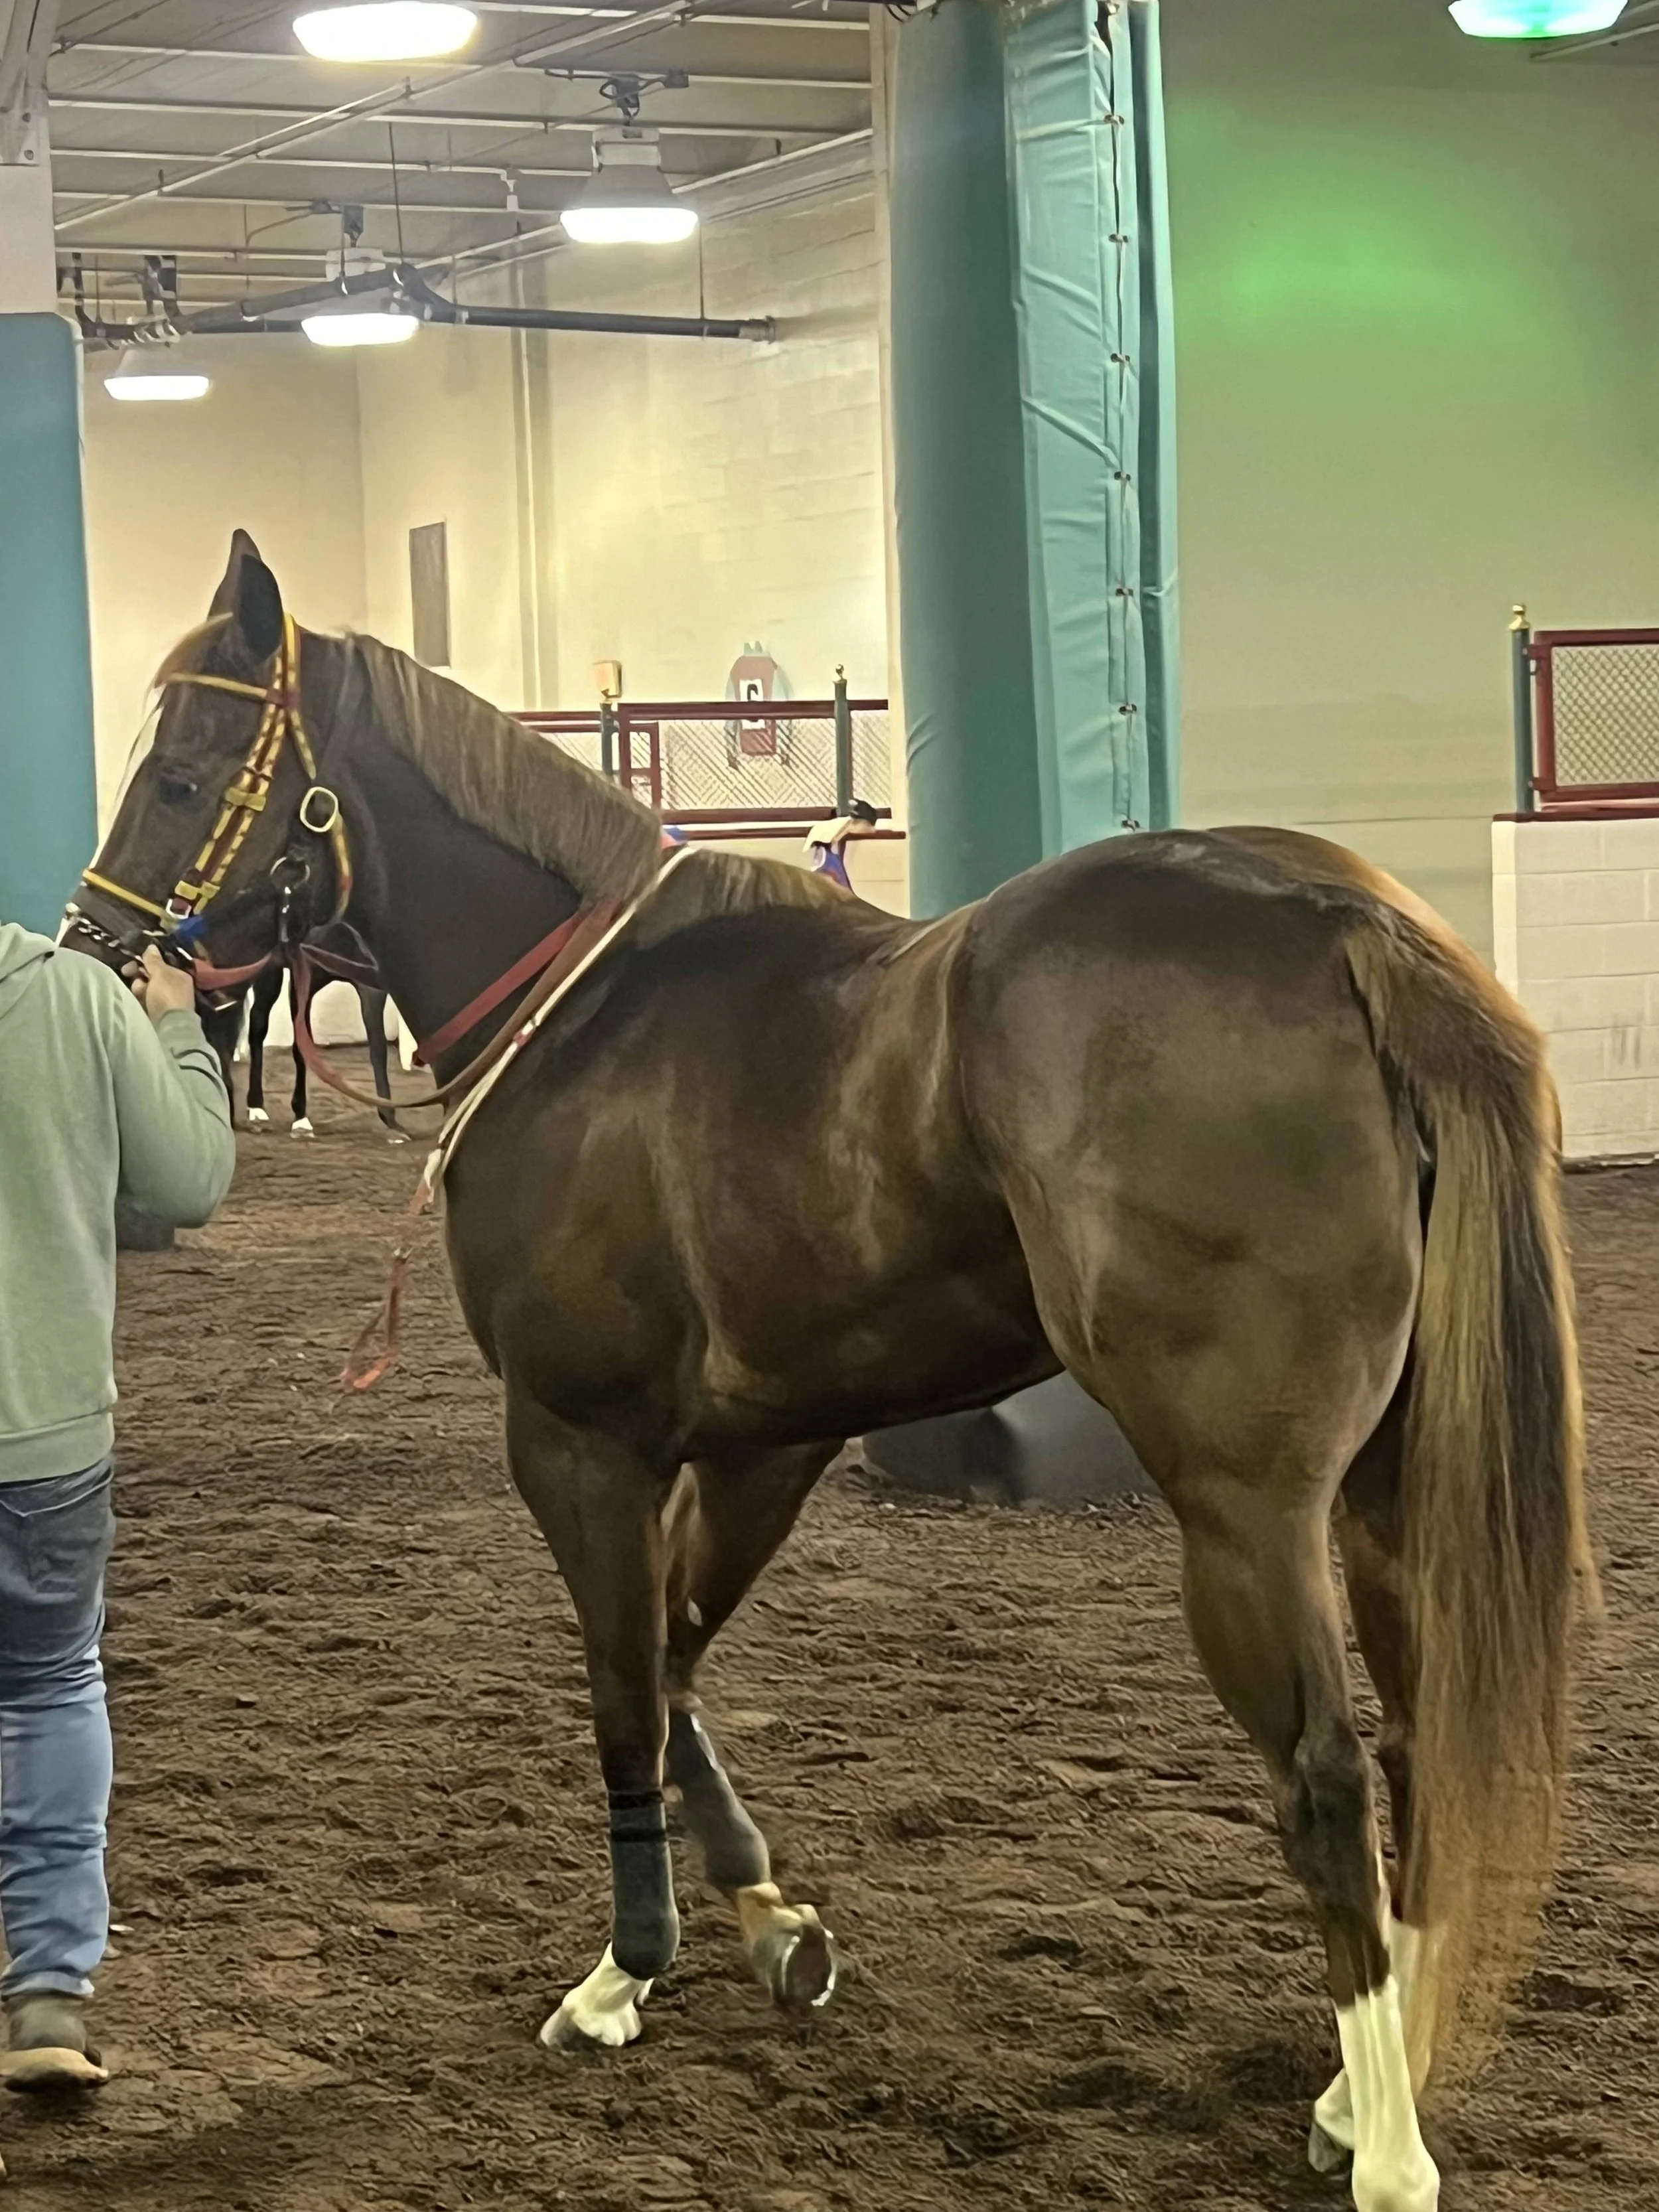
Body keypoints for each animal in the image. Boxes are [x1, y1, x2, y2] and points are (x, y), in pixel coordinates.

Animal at [65, 533, 1594, 2212]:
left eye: (187, 770)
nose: (93, 943)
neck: (583, 1024)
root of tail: (1339, 927)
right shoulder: (760, 1443)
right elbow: (676, 1661)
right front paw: (767, 1917)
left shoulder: (576, 1439)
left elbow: (622, 1684)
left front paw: (626, 1969)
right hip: (1389, 1483)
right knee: (1420, 1744)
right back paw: (1357, 2085)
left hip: (1246, 1508)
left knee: (1325, 1777)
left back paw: (1383, 2139)